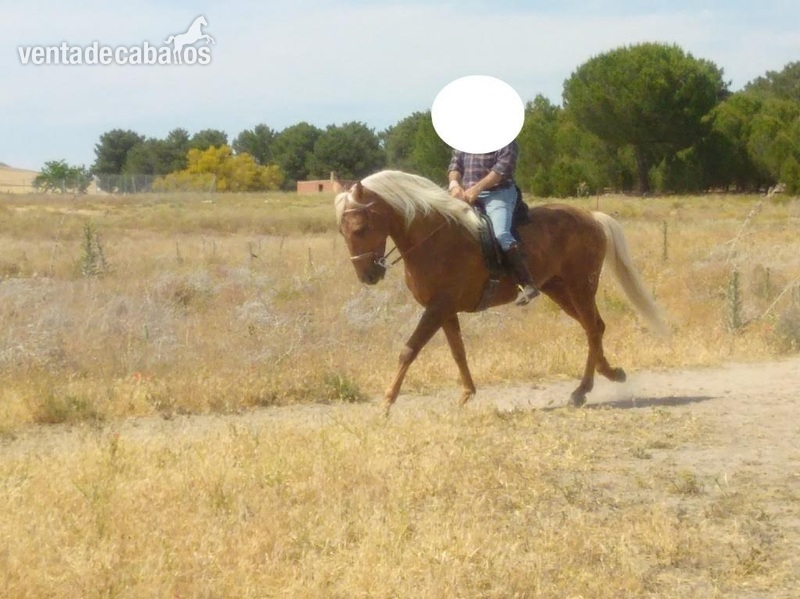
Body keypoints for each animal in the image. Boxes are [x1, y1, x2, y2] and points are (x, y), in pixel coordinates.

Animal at [335, 170, 667, 414]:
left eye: (360, 227)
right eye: (342, 231)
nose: (368, 275)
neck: (434, 238)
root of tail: (591, 218)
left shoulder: (438, 307)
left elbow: (409, 350)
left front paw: (386, 403)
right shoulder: (444, 309)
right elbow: (458, 352)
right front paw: (467, 394)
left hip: (580, 287)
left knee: (593, 328)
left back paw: (582, 389)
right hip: (559, 291)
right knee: (594, 327)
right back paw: (609, 375)